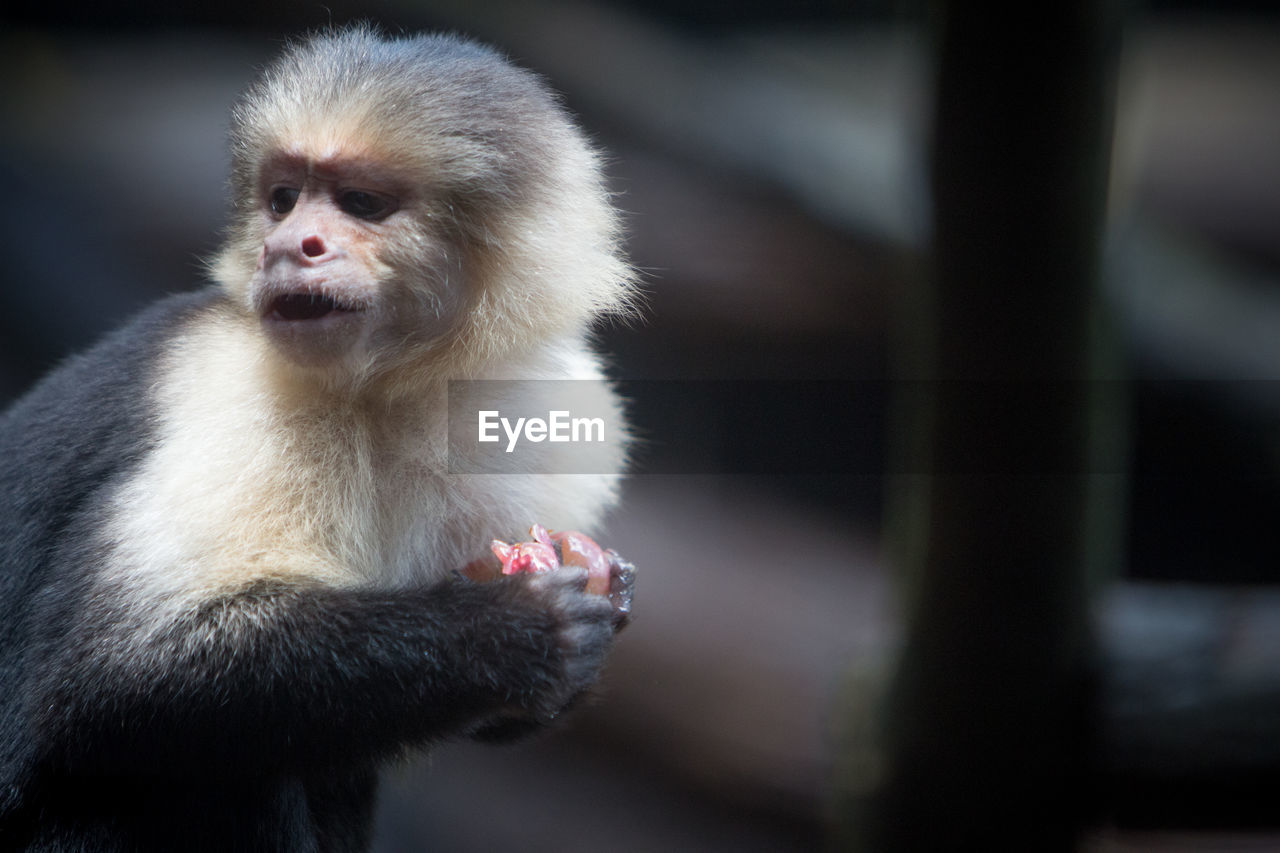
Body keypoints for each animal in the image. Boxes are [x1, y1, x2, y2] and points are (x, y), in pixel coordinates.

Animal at [0, 26, 640, 850]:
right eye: (283, 200)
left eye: (360, 203)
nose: (287, 245)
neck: (391, 389)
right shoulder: (237, 390)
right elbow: (110, 680)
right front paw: (518, 630)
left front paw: (596, 615)